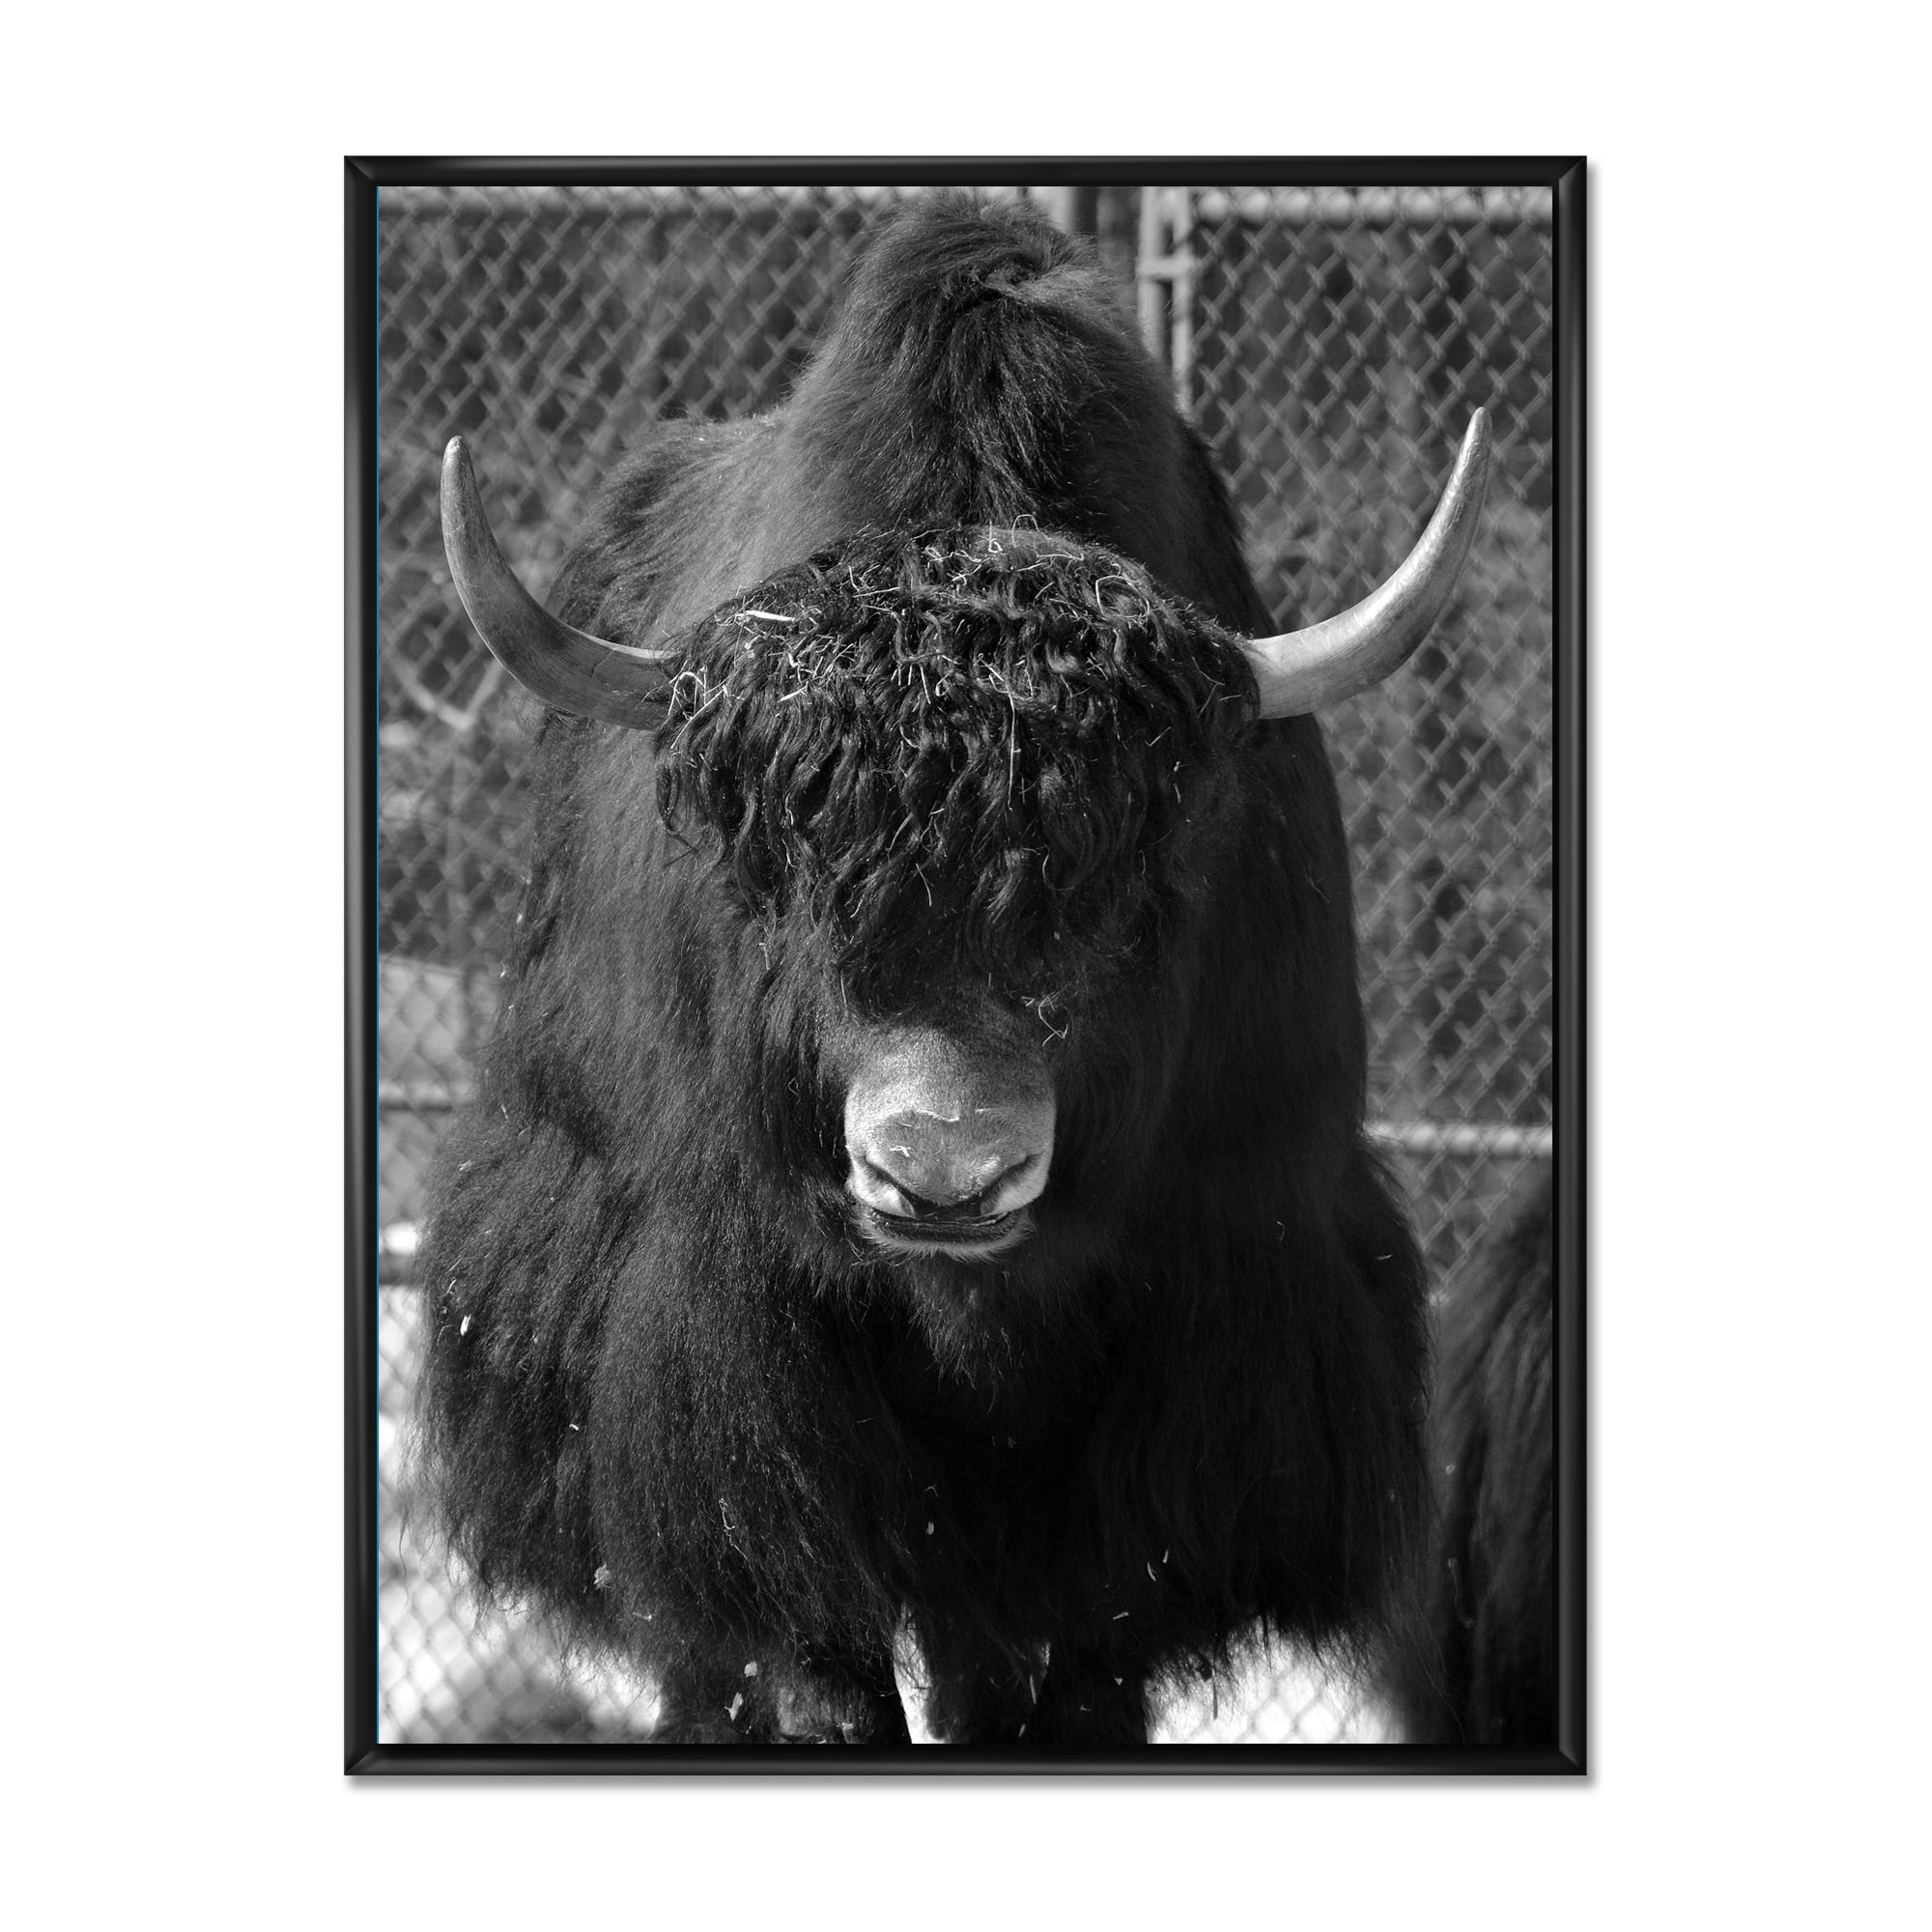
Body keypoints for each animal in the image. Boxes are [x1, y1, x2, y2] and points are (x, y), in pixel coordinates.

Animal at [415, 193, 1491, 1745]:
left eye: (1124, 895)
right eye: (788, 885)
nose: (943, 1173)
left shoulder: (1205, 1353)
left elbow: (1077, 1669)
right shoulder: (732, 1377)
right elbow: (805, 1650)